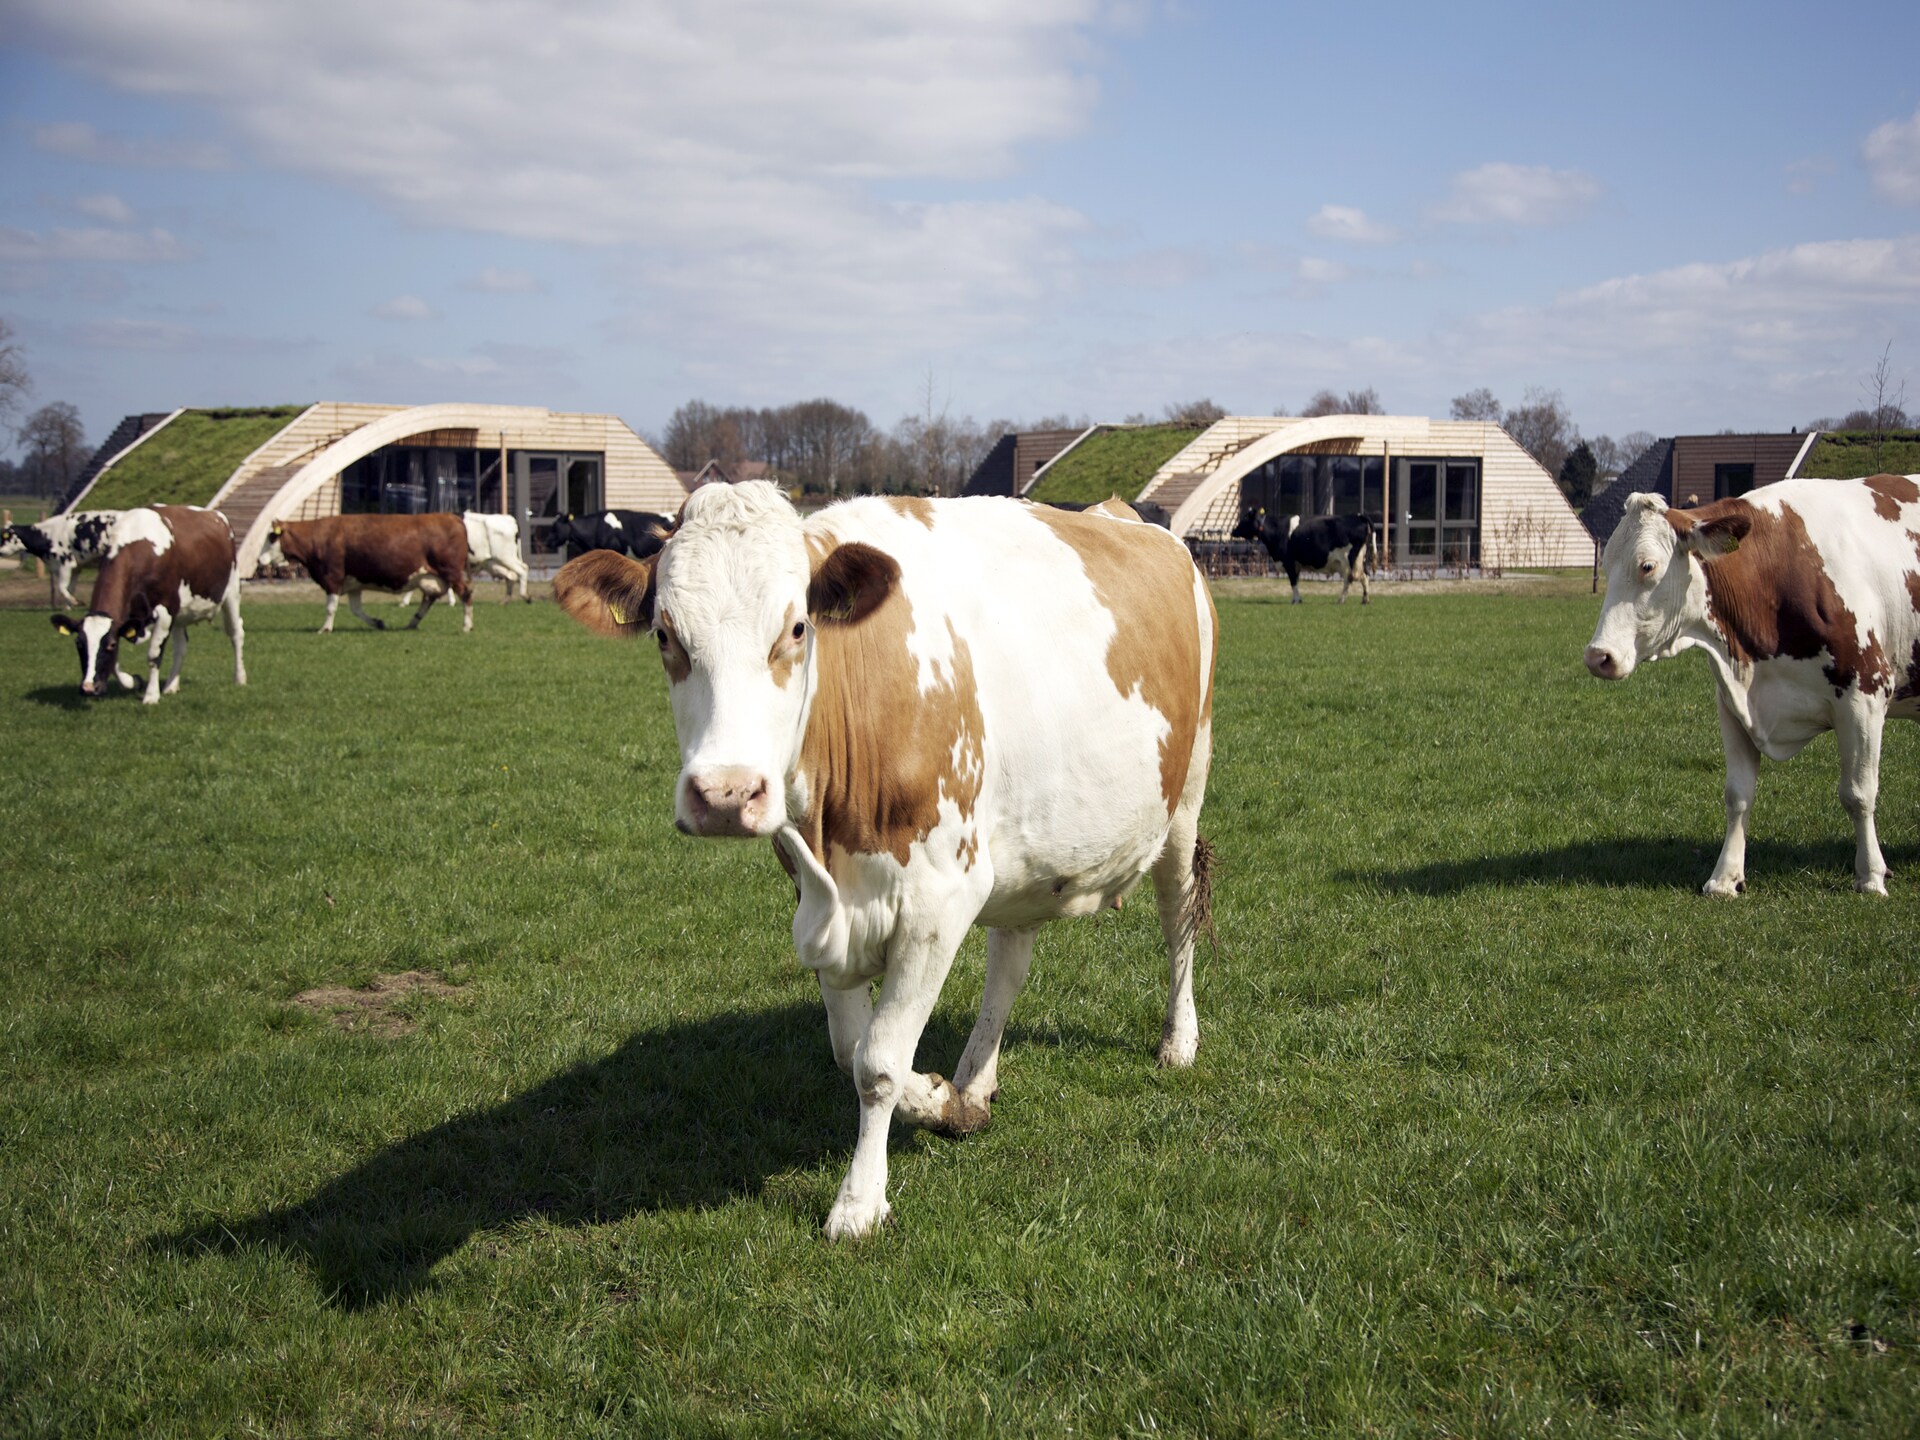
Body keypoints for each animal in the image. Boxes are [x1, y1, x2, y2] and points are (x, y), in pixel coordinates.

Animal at [48, 505, 245, 705]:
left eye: (110, 645)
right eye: (79, 643)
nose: (88, 687)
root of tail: (215, 514)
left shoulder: (165, 611)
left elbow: (153, 655)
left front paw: (151, 695)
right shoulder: (129, 623)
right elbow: (115, 663)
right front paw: (134, 681)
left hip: (231, 593)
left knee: (236, 633)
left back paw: (240, 677)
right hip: (181, 613)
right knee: (181, 647)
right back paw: (171, 685)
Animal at [259, 513, 474, 633]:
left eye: (271, 537)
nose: (259, 560)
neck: (318, 537)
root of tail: (451, 516)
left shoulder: (332, 578)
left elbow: (331, 607)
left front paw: (325, 628)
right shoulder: (354, 583)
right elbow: (356, 609)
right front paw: (378, 623)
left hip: (451, 572)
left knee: (465, 593)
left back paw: (466, 626)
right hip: (433, 577)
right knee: (428, 599)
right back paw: (411, 624)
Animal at [553, 481, 1216, 1239]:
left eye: (798, 629)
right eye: (665, 635)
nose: (725, 794)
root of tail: (1125, 515)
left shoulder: (939, 903)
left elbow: (877, 1062)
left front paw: (859, 1201)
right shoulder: (821, 902)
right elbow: (850, 1050)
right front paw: (942, 1099)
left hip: (1184, 797)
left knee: (1178, 918)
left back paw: (1178, 1041)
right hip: (1022, 847)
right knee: (1010, 959)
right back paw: (974, 1083)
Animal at [1233, 507, 1379, 604]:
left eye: (1245, 519)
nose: (1233, 531)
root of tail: (1358, 515)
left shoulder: (1289, 561)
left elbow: (1293, 581)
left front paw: (1296, 600)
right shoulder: (1296, 564)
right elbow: (1296, 581)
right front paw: (1297, 599)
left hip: (1349, 560)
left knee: (1351, 579)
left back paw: (1341, 600)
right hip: (1360, 558)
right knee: (1365, 576)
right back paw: (1365, 600)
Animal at [1584, 476, 1920, 896]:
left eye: (1647, 566)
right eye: (1607, 564)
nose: (1598, 656)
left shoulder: (1865, 696)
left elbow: (1858, 793)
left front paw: (1871, 875)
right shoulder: (1733, 702)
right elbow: (1738, 795)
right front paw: (1725, 877)